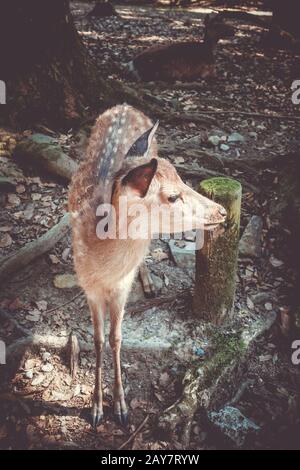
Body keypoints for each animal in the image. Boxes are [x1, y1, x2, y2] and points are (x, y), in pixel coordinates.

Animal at [68, 103, 226, 426]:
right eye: (173, 196)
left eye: (182, 178)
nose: (222, 211)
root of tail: (125, 106)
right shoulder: (88, 286)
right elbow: (98, 339)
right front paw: (96, 408)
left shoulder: (122, 287)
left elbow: (116, 337)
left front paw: (120, 407)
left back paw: (150, 283)